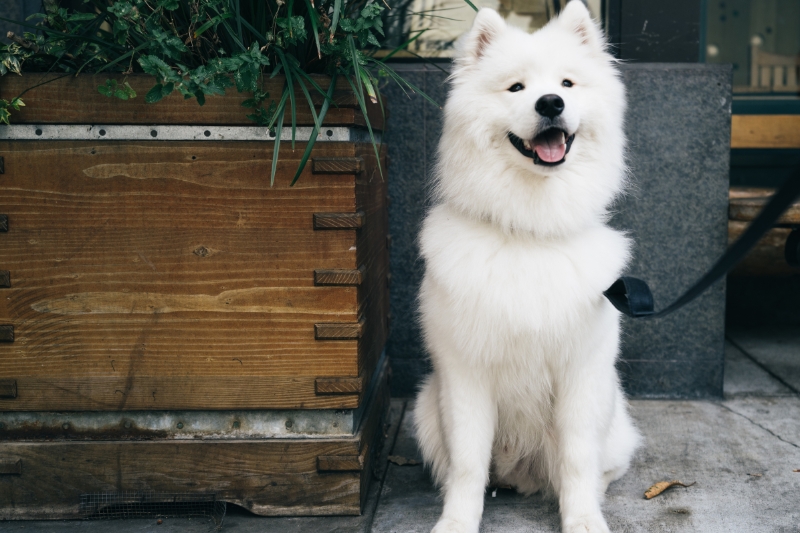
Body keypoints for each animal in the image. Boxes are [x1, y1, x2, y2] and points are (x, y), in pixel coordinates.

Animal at [412, 2, 644, 528]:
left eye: (567, 83)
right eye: (516, 87)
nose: (551, 103)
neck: (530, 231)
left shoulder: (581, 374)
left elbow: (577, 460)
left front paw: (583, 520)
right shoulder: (466, 374)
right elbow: (468, 463)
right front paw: (457, 522)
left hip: (614, 418)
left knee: (597, 467)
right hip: (425, 411)